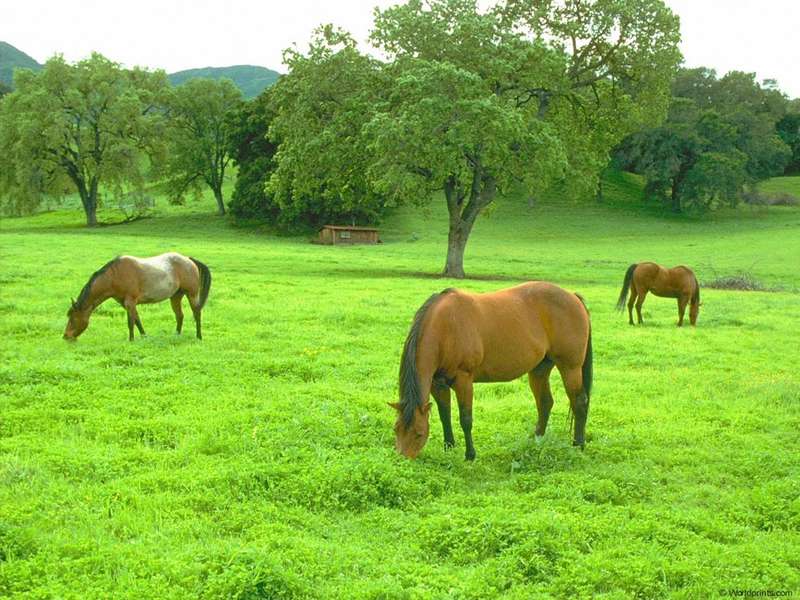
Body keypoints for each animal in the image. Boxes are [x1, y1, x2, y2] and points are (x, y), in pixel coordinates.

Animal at [63, 251, 211, 340]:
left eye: (73, 319)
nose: (66, 336)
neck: (114, 275)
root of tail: (189, 260)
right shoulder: (126, 303)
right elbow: (136, 319)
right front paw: (144, 336)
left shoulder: (130, 301)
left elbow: (130, 322)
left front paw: (131, 340)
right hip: (176, 296)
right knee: (179, 315)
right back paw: (177, 335)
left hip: (192, 294)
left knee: (197, 313)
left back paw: (199, 336)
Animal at [390, 284, 592, 462]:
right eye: (396, 429)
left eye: (418, 434)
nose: (402, 460)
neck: (445, 327)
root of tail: (573, 297)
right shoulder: (437, 383)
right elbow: (444, 414)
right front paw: (449, 447)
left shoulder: (463, 380)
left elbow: (466, 419)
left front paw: (470, 455)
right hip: (539, 369)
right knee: (545, 403)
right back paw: (537, 440)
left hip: (570, 367)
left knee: (579, 402)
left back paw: (578, 445)